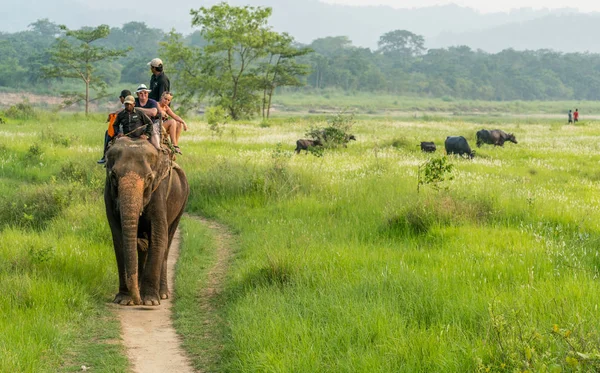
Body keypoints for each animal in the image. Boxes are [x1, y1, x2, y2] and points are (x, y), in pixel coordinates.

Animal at [103, 137, 188, 306]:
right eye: (113, 176)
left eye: (149, 178)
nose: (137, 301)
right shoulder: (108, 193)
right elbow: (119, 238)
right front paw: (124, 300)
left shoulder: (159, 190)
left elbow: (158, 236)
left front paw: (150, 302)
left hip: (183, 202)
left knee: (167, 243)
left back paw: (162, 294)